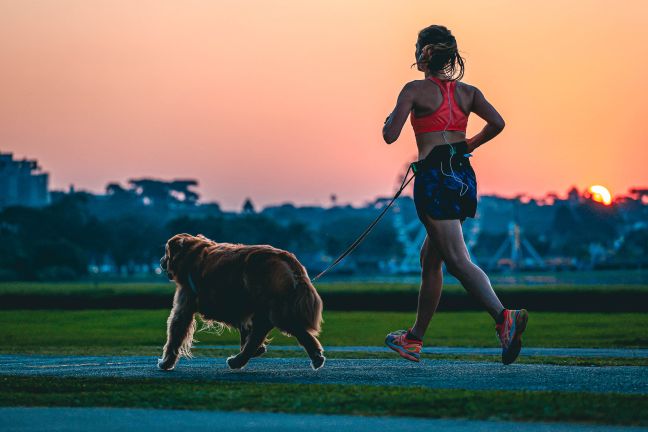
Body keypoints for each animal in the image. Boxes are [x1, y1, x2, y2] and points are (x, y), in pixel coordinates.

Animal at [157, 233, 324, 372]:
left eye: (165, 252)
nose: (160, 262)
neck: (192, 252)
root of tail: (286, 257)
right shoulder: (238, 306)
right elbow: (244, 329)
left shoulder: (184, 305)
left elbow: (174, 335)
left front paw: (166, 362)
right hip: (268, 307)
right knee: (266, 332)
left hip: (275, 310)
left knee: (266, 332)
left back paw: (237, 360)